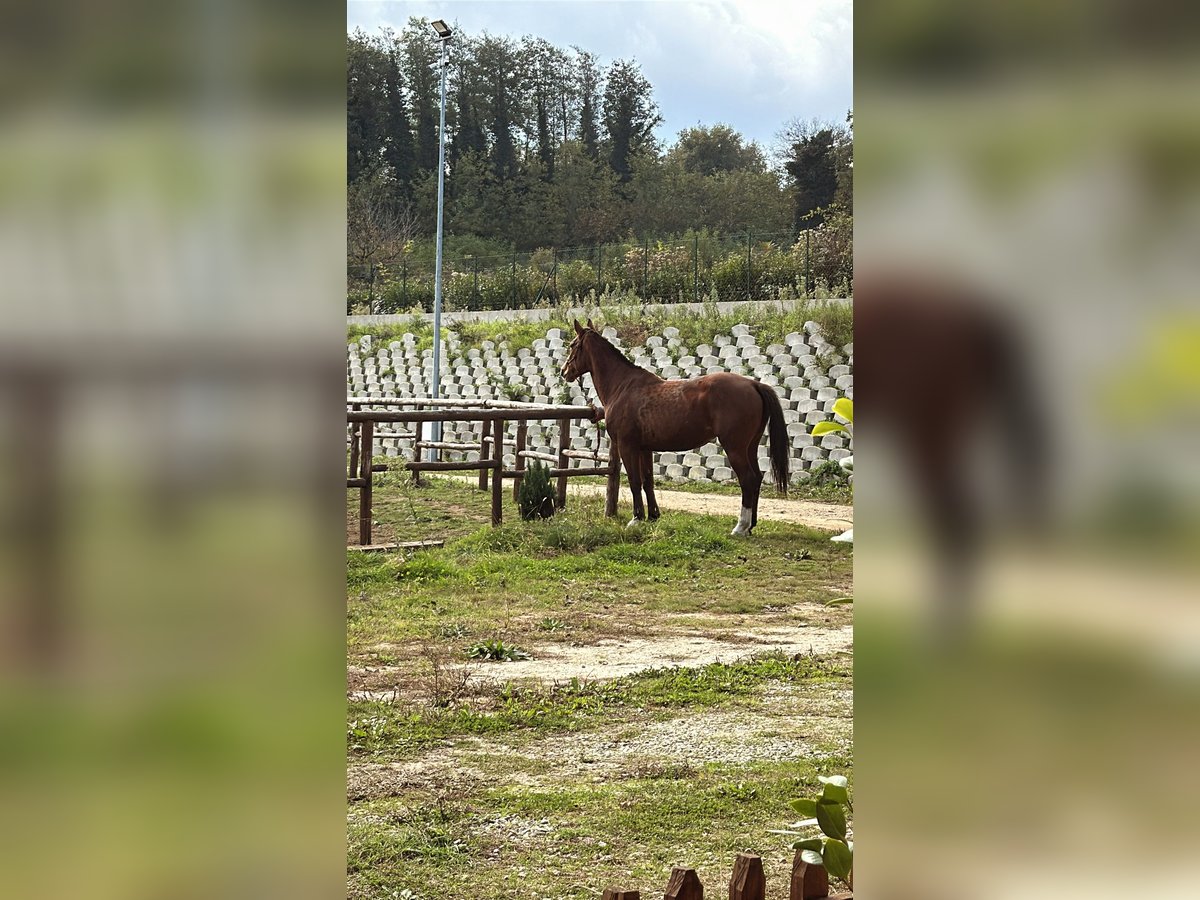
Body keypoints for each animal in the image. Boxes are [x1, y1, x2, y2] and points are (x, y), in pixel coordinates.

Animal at [559, 321, 787, 535]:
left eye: (572, 345)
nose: (564, 371)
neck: (622, 386)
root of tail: (754, 384)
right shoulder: (644, 448)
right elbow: (647, 481)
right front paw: (652, 516)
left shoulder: (627, 446)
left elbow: (634, 480)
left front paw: (636, 518)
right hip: (750, 446)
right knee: (756, 479)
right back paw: (750, 526)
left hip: (735, 448)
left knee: (748, 480)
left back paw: (740, 527)